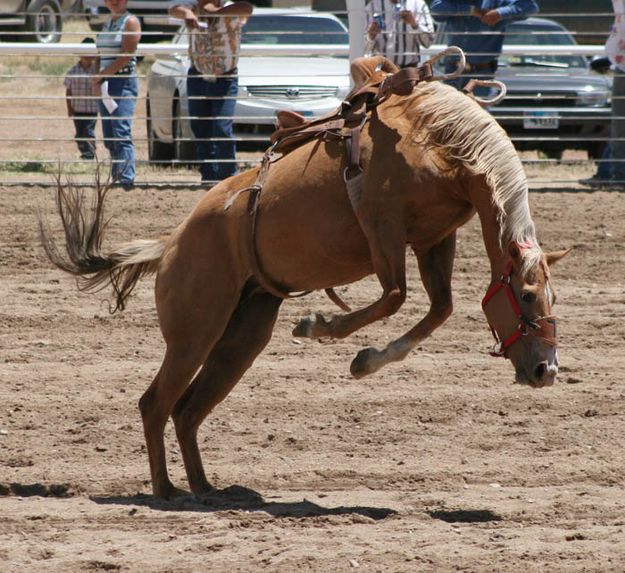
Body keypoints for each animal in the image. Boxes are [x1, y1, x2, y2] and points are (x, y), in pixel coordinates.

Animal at [41, 55, 572, 498]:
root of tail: (171, 240)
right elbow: (395, 295)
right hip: (194, 332)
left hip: (243, 335)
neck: (437, 141)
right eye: (527, 295)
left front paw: (364, 359)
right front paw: (319, 327)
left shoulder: (433, 239)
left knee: (187, 410)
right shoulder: (382, 225)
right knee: (155, 403)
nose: (546, 372)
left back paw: (207, 488)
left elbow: (439, 308)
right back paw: (166, 490)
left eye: (552, 298)